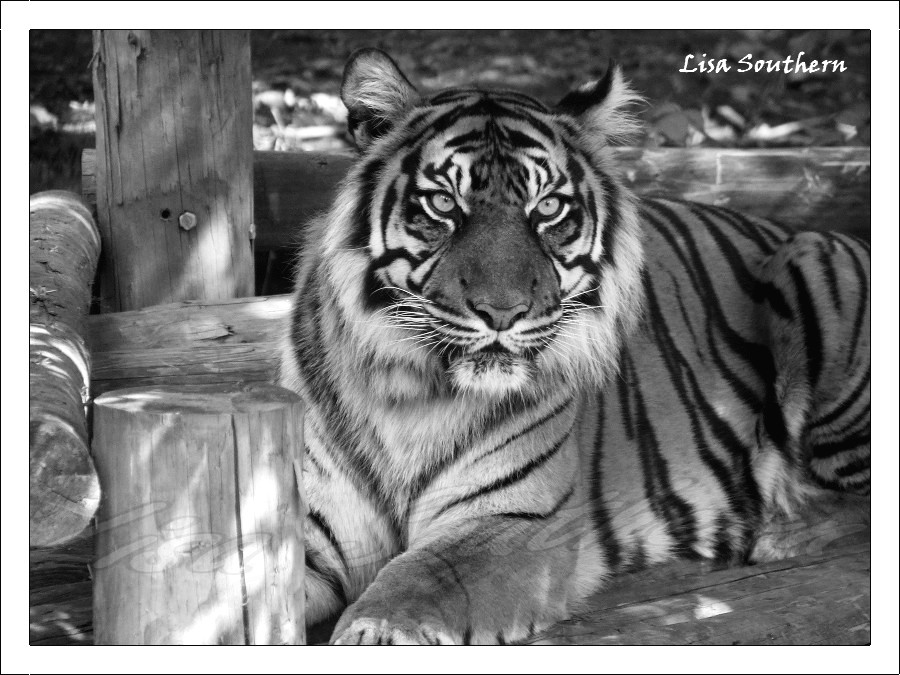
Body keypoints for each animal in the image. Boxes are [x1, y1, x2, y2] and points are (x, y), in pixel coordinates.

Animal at [279, 48, 871, 645]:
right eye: (444, 203)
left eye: (547, 209)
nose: (502, 311)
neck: (406, 391)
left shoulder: (515, 523)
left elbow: (422, 577)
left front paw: (375, 629)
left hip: (810, 253)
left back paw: (779, 532)